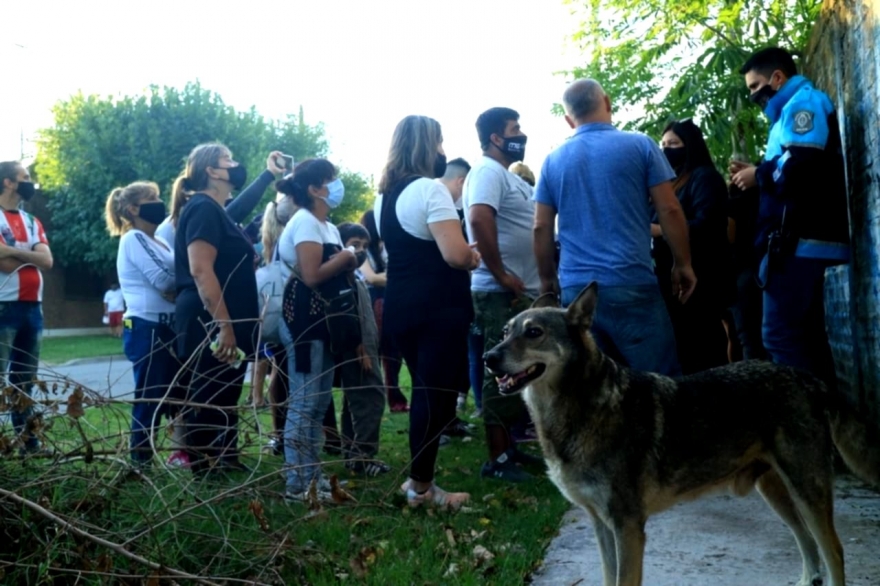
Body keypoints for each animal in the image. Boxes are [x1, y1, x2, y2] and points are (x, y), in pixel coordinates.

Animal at [484, 282, 876, 584]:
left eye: (534, 333)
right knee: (807, 543)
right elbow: (609, 578)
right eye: (505, 333)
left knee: (834, 551)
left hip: (807, 492)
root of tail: (807, 377)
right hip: (777, 493)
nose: (488, 358)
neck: (581, 409)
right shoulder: (602, 526)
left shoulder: (628, 528)